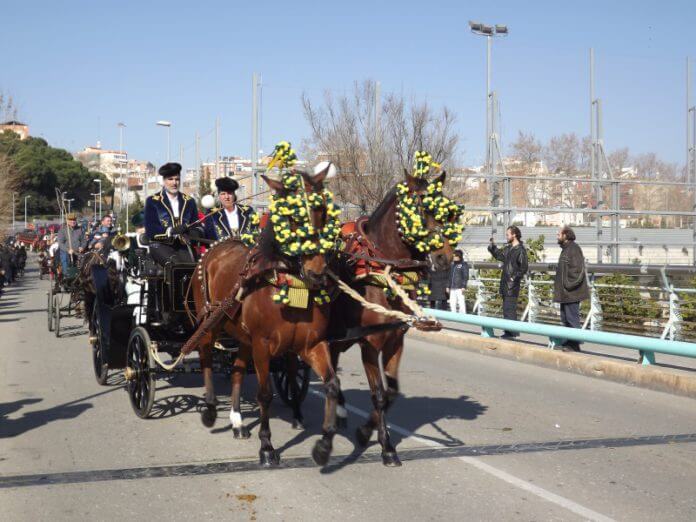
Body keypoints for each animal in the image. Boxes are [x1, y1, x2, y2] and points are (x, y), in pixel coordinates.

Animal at [192, 166, 342, 464]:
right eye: (292, 215)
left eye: (322, 210)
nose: (317, 272)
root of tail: (215, 247)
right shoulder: (262, 345)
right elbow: (264, 394)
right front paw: (267, 446)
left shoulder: (312, 344)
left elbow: (332, 384)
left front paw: (324, 444)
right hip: (211, 322)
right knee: (205, 355)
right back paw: (211, 408)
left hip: (242, 337)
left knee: (237, 371)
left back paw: (237, 420)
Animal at [286, 169, 456, 466]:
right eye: (421, 207)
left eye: (445, 210)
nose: (444, 257)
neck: (379, 270)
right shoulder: (370, 344)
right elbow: (377, 394)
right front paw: (385, 445)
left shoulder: (395, 340)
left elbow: (391, 392)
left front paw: (367, 431)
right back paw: (296, 412)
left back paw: (340, 412)